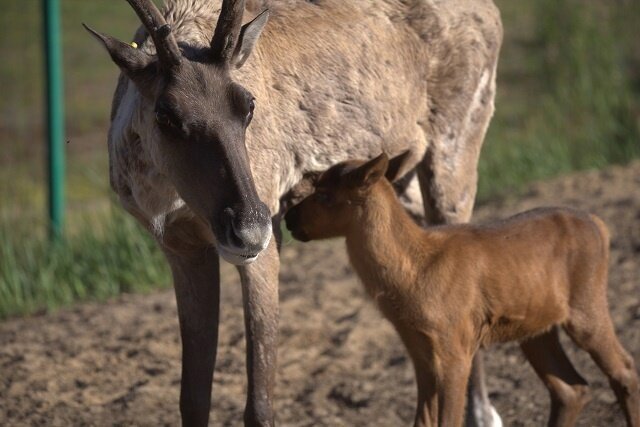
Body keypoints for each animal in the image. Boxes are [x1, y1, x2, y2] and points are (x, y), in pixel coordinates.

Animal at [286, 154, 640, 427]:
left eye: (325, 195)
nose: (289, 218)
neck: (413, 272)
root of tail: (599, 225)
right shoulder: (419, 350)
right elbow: (423, 421)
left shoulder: (453, 347)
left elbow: (449, 420)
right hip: (535, 328)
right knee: (571, 389)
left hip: (586, 306)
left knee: (623, 369)